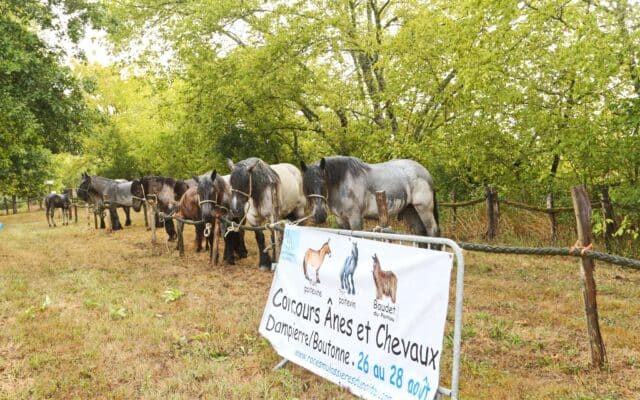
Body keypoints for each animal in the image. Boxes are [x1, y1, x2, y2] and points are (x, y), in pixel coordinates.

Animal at [302, 157, 440, 244]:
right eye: (307, 186)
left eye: (323, 183)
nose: (319, 215)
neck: (342, 183)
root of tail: (425, 172)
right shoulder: (340, 220)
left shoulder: (355, 218)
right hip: (410, 210)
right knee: (421, 234)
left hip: (424, 209)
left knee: (433, 232)